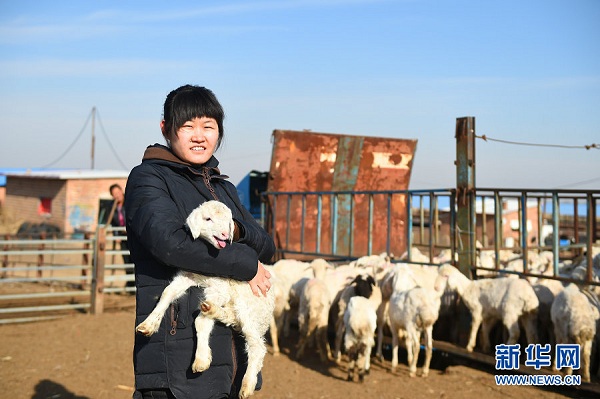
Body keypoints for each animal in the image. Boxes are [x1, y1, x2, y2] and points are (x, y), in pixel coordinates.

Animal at [136, 202, 274, 399]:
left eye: (228, 221)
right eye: (208, 219)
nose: (225, 234)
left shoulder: (220, 287)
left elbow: (201, 321)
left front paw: (201, 357)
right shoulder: (188, 275)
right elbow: (168, 293)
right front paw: (149, 324)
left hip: (249, 308)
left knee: (256, 346)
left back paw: (247, 385)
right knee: (230, 316)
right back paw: (212, 309)